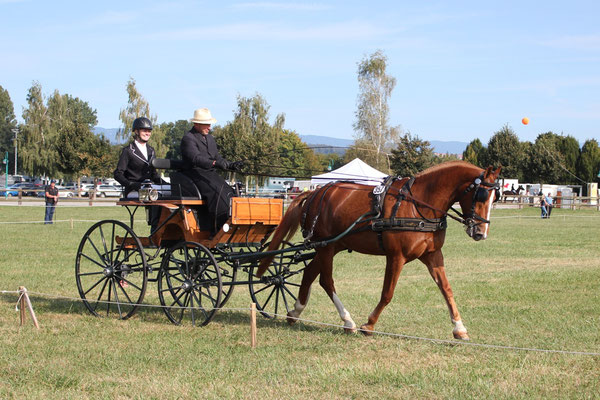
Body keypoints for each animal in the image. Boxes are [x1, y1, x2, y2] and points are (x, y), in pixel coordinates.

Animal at [255, 161, 500, 340]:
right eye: (481, 196)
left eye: (495, 198)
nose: (481, 233)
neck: (419, 204)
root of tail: (314, 194)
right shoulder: (396, 257)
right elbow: (387, 293)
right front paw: (369, 324)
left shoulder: (432, 255)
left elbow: (447, 289)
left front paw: (459, 328)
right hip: (326, 246)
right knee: (326, 280)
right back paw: (348, 321)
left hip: (331, 245)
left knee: (310, 274)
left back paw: (295, 312)